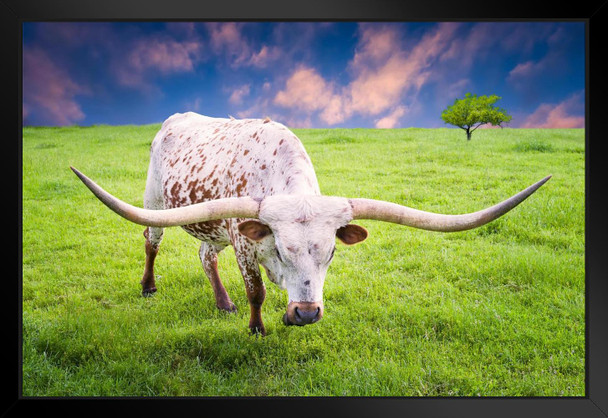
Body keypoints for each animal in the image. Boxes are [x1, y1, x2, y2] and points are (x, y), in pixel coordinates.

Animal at [72, 112, 552, 334]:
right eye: (282, 249)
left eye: (333, 252)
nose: (305, 313)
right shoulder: (246, 246)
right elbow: (257, 291)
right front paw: (257, 328)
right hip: (155, 202)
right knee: (151, 241)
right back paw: (149, 287)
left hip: (212, 222)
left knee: (205, 255)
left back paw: (222, 303)